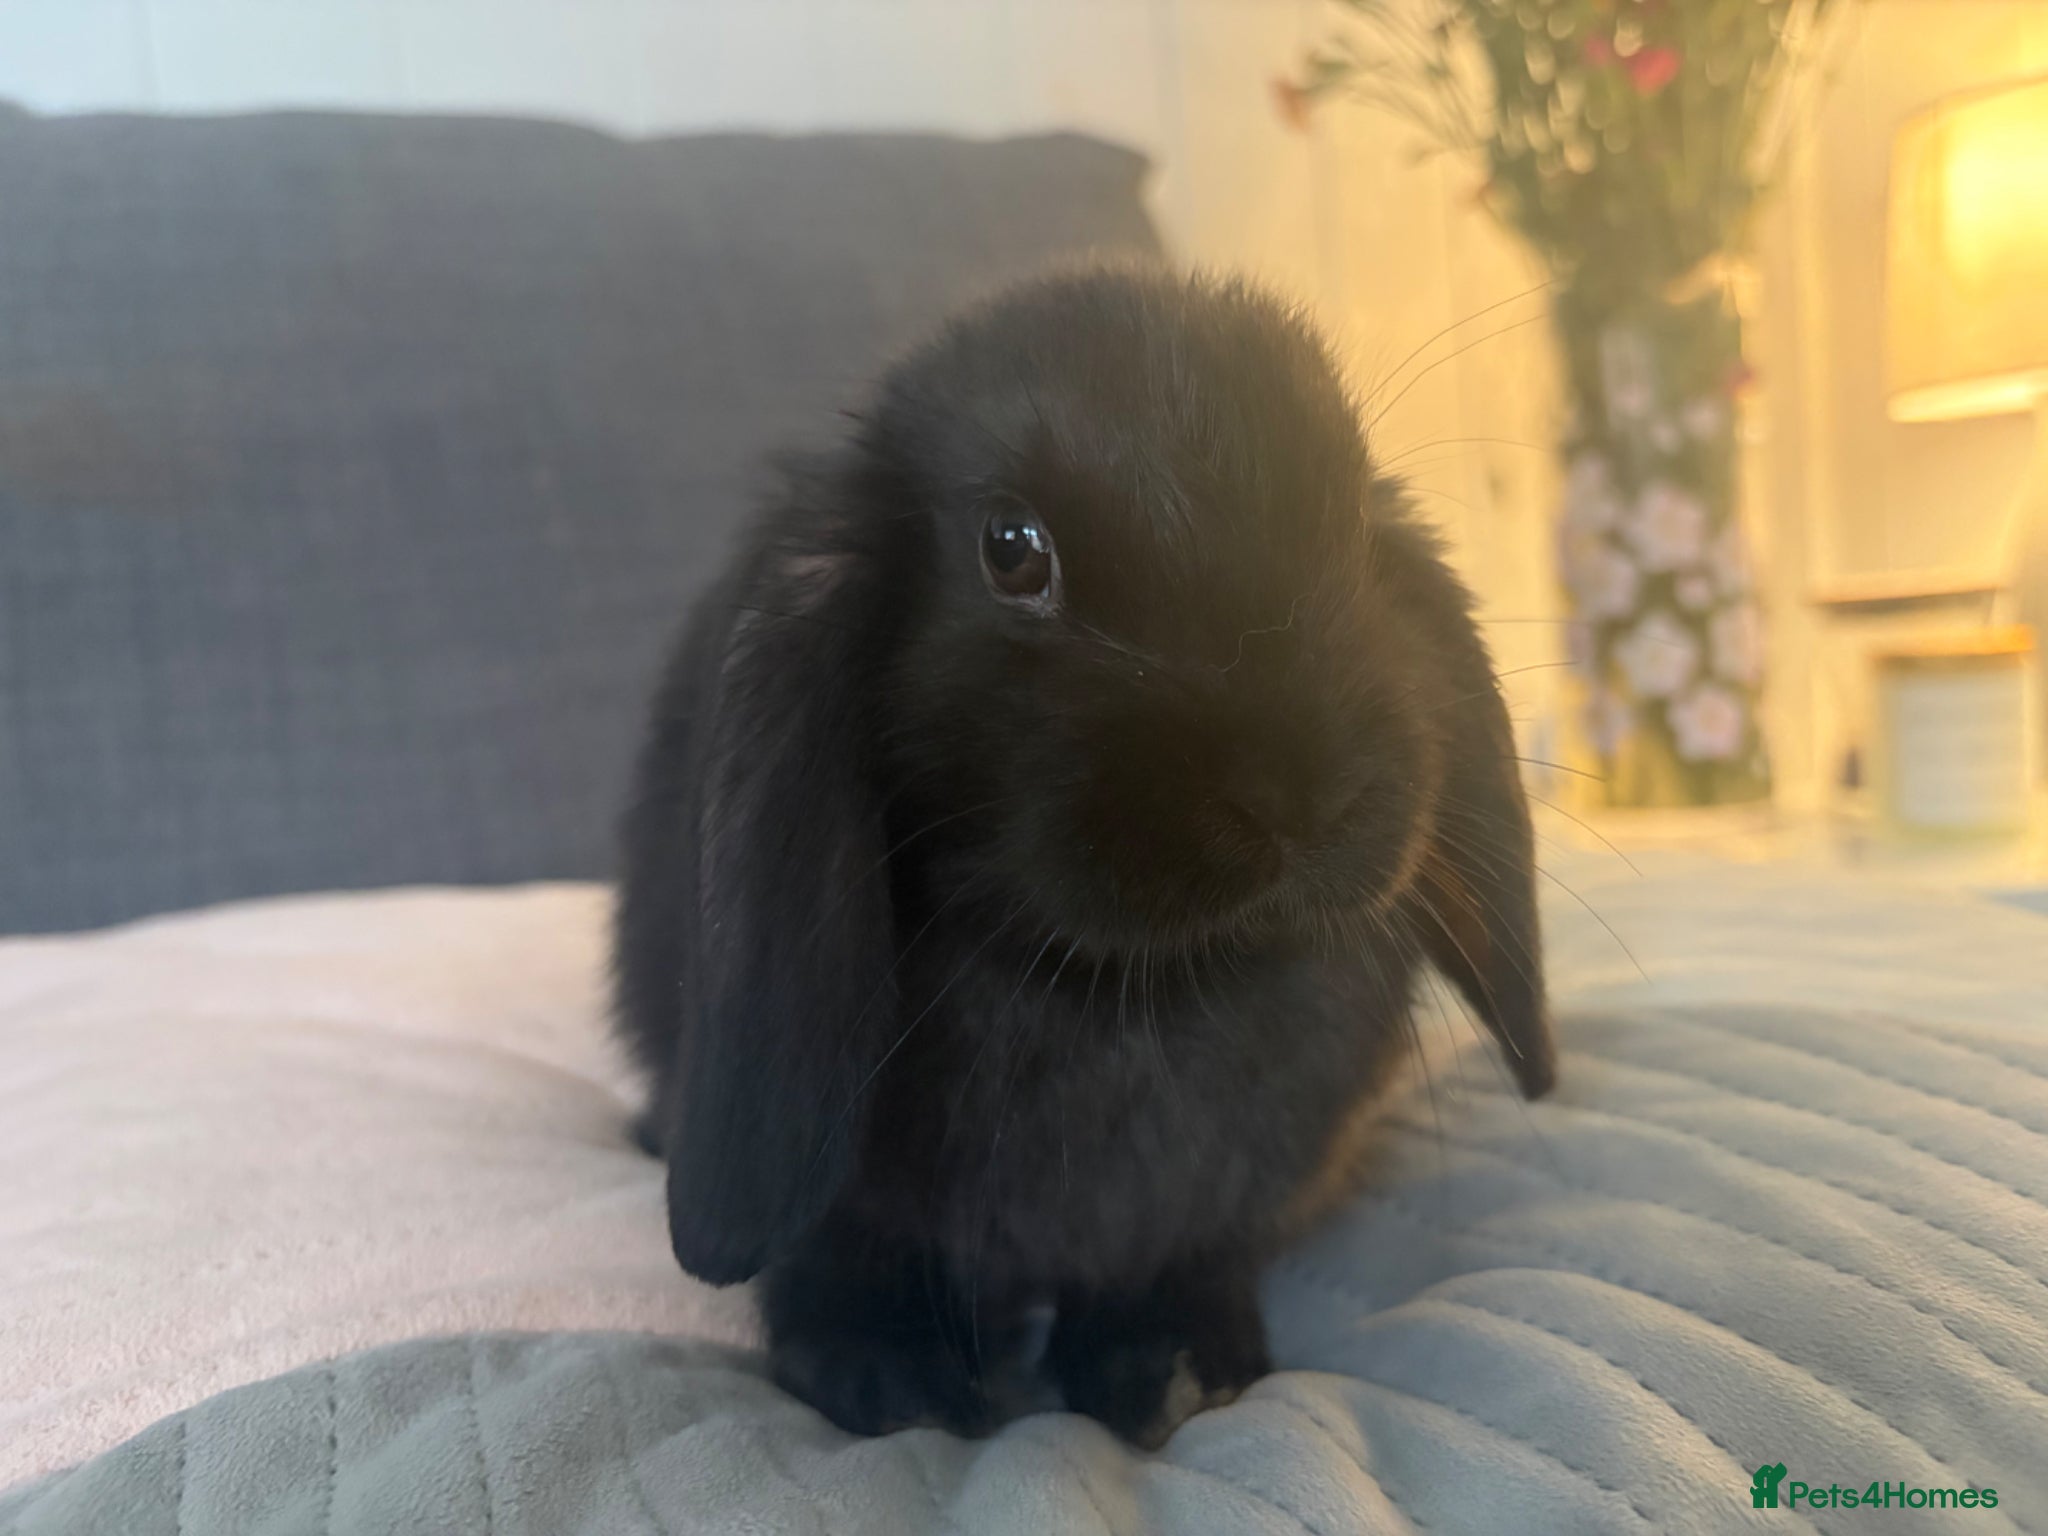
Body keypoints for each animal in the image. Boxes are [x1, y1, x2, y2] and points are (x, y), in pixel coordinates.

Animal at [613, 264, 1553, 1449]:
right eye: (1011, 548)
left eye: (1352, 532)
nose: (1300, 792)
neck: (1126, 992)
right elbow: (840, 1247)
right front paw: (886, 1375)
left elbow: (1178, 1265)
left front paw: (1178, 1372)